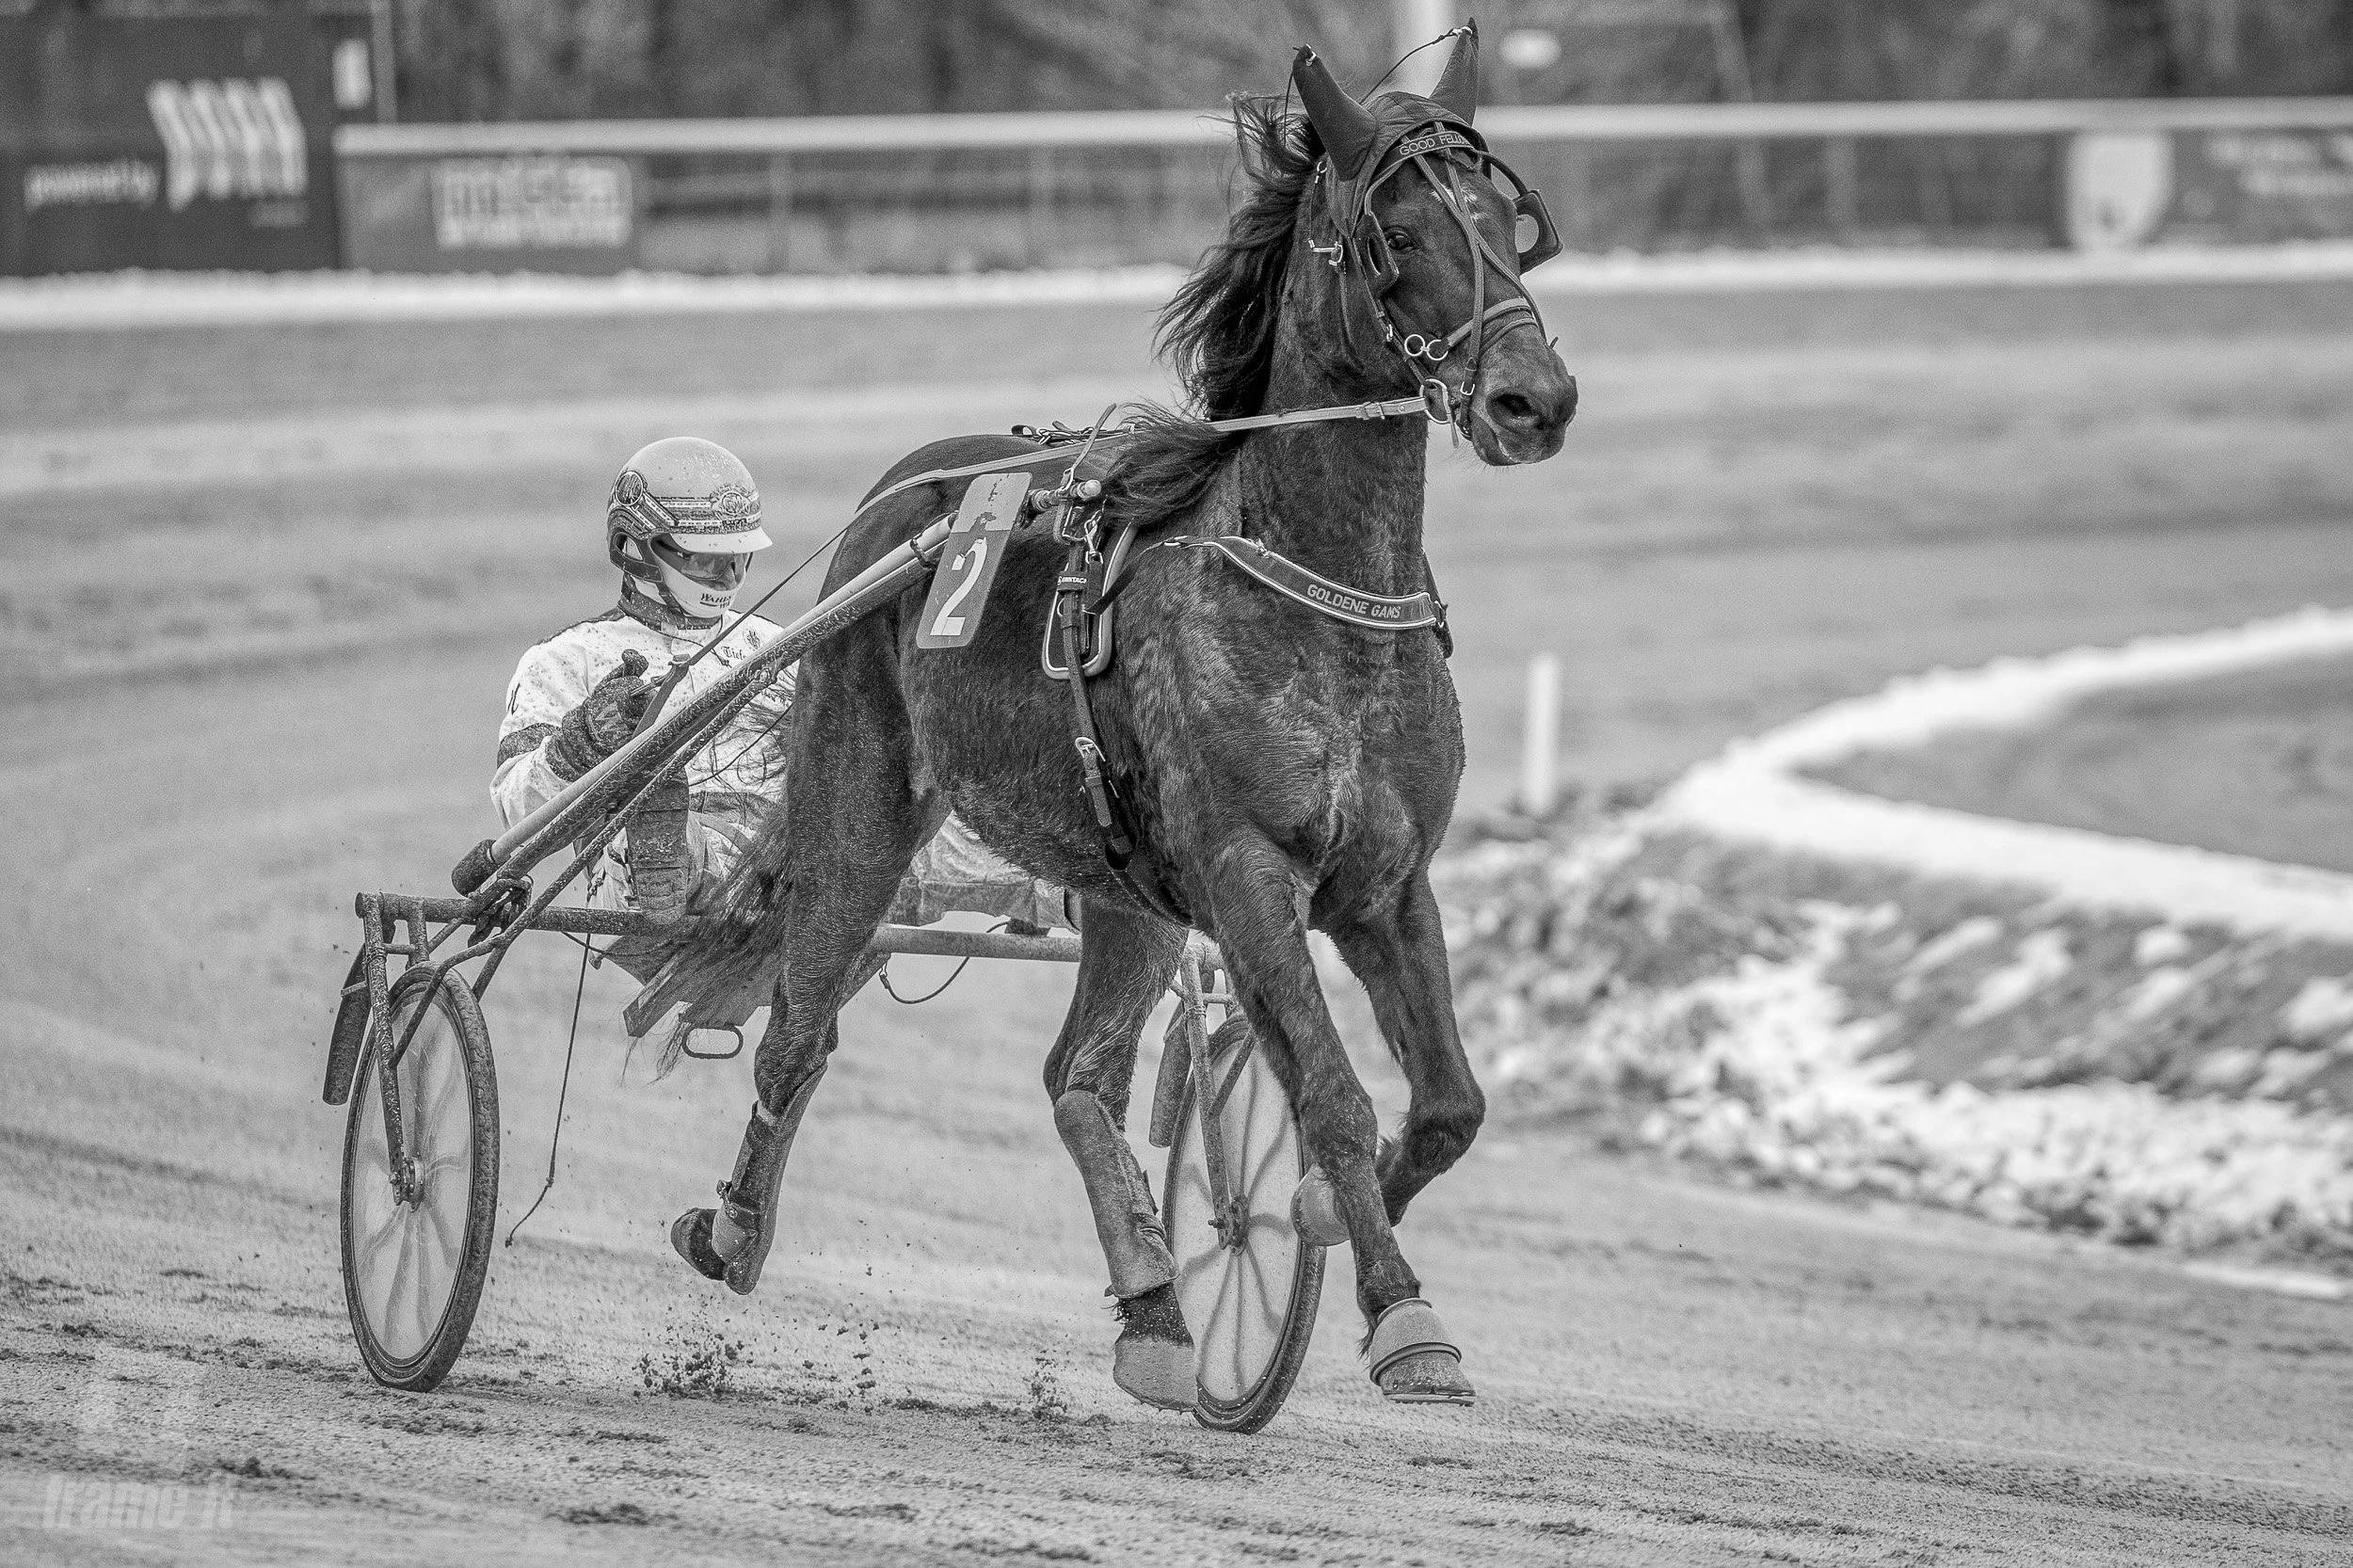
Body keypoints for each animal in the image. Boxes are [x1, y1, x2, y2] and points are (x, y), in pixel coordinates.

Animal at [668, 27, 1576, 1409]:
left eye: (1505, 223)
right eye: (1395, 231)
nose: (1538, 398)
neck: (1315, 594)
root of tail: (911, 489)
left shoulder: (1387, 880)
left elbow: (1446, 1104)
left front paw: (1316, 1211)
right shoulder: (1248, 869)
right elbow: (1334, 1093)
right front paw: (1404, 1313)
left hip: (1129, 890)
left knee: (1077, 1076)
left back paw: (1153, 1304)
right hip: (860, 795)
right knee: (800, 1027)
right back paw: (732, 1227)